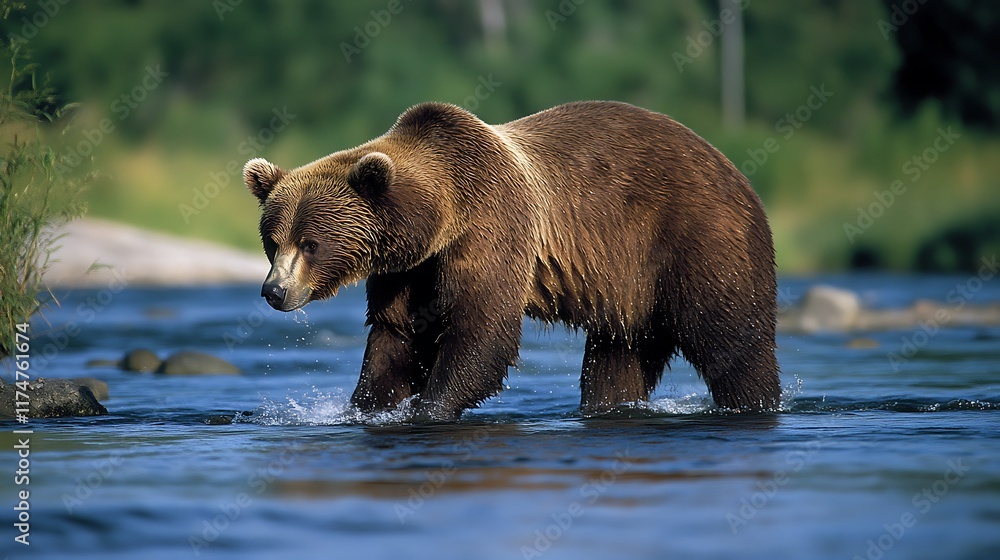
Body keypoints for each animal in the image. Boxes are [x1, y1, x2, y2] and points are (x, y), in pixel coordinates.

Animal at [243, 101, 780, 420]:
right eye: (272, 240)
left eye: (310, 243)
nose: (274, 291)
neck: (440, 217)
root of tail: (733, 168)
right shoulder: (407, 269)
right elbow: (395, 337)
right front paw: (366, 407)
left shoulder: (495, 230)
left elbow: (482, 333)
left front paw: (429, 407)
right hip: (629, 291)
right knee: (617, 359)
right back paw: (609, 408)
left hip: (697, 239)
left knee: (732, 337)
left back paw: (755, 402)